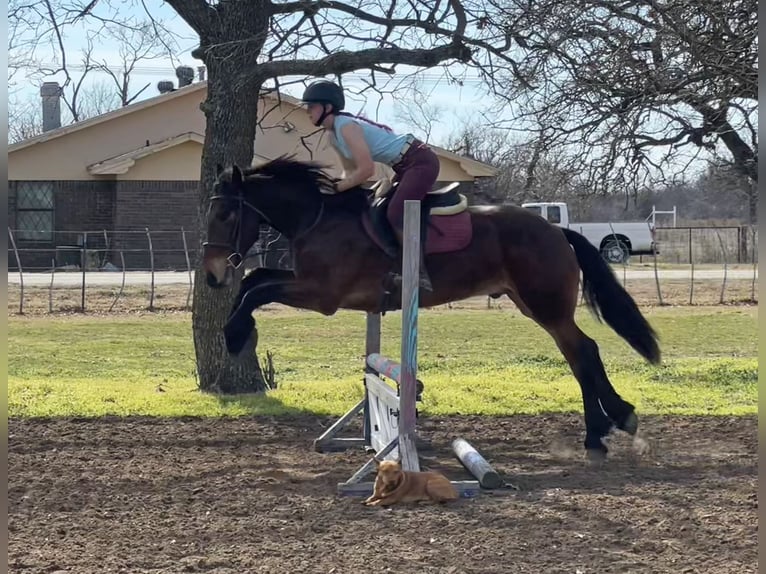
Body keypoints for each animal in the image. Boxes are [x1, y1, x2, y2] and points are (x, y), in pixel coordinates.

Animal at [202, 159, 660, 464]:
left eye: (225, 213)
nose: (211, 275)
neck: (317, 219)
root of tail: (555, 230)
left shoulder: (322, 296)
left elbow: (256, 289)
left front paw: (235, 333)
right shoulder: (307, 284)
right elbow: (255, 279)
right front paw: (236, 330)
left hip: (547, 306)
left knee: (583, 351)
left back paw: (610, 425)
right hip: (535, 306)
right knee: (580, 353)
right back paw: (603, 430)